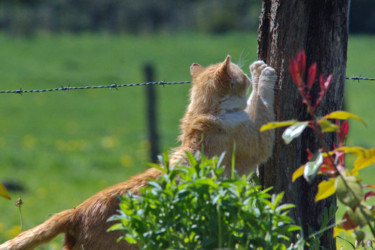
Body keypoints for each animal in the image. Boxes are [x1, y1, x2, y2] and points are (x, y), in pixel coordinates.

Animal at [0, 55, 276, 249]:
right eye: (240, 76)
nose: (247, 75)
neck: (205, 113)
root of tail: (75, 211)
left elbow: (255, 102)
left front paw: (258, 71)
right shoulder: (260, 140)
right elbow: (262, 102)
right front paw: (263, 72)